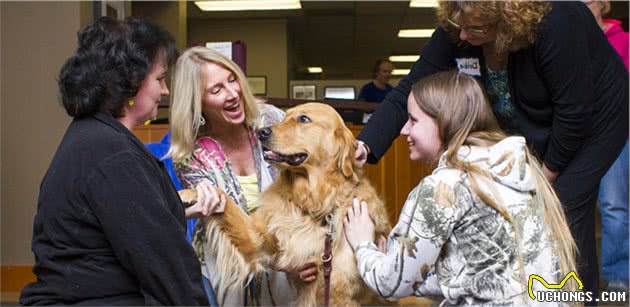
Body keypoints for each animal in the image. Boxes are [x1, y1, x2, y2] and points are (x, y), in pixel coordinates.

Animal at [180, 103, 392, 307]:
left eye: (304, 119)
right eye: (285, 116)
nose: (262, 132)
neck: (312, 206)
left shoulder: (340, 293)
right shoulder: (256, 239)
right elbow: (224, 198)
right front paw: (191, 194)